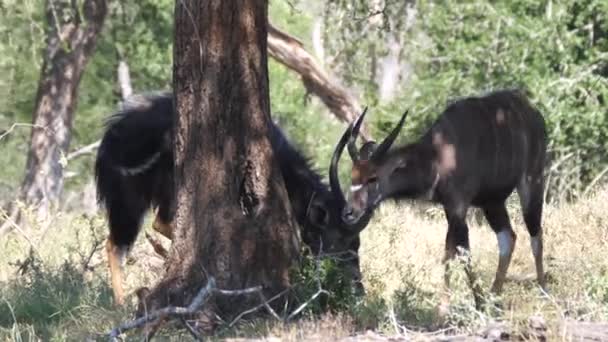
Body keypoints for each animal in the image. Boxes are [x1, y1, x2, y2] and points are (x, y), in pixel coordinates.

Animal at [330, 89, 548, 312]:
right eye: (353, 177)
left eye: (373, 178)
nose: (349, 212)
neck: (437, 156)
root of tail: (533, 112)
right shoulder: (450, 208)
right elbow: (450, 252)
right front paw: (453, 307)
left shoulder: (458, 206)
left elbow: (460, 252)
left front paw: (468, 304)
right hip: (492, 202)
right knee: (508, 237)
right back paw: (494, 297)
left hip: (531, 182)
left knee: (535, 234)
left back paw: (543, 293)